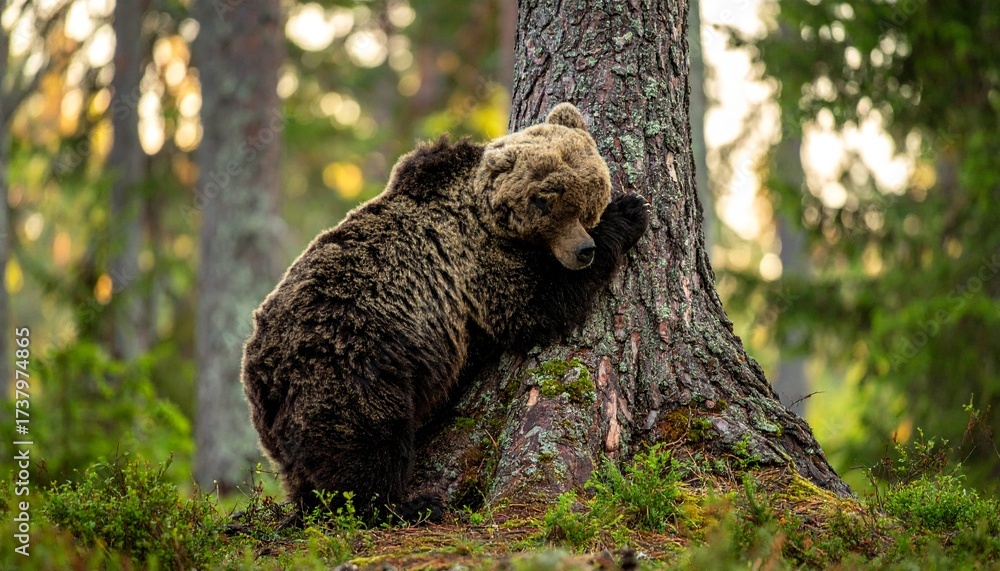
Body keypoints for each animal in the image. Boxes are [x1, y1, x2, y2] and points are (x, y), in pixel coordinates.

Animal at [240, 102, 649, 523]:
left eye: (587, 203)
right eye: (550, 203)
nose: (584, 251)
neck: (484, 210)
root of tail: (260, 377)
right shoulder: (476, 260)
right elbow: (531, 308)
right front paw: (629, 213)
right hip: (350, 367)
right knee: (366, 444)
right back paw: (408, 505)